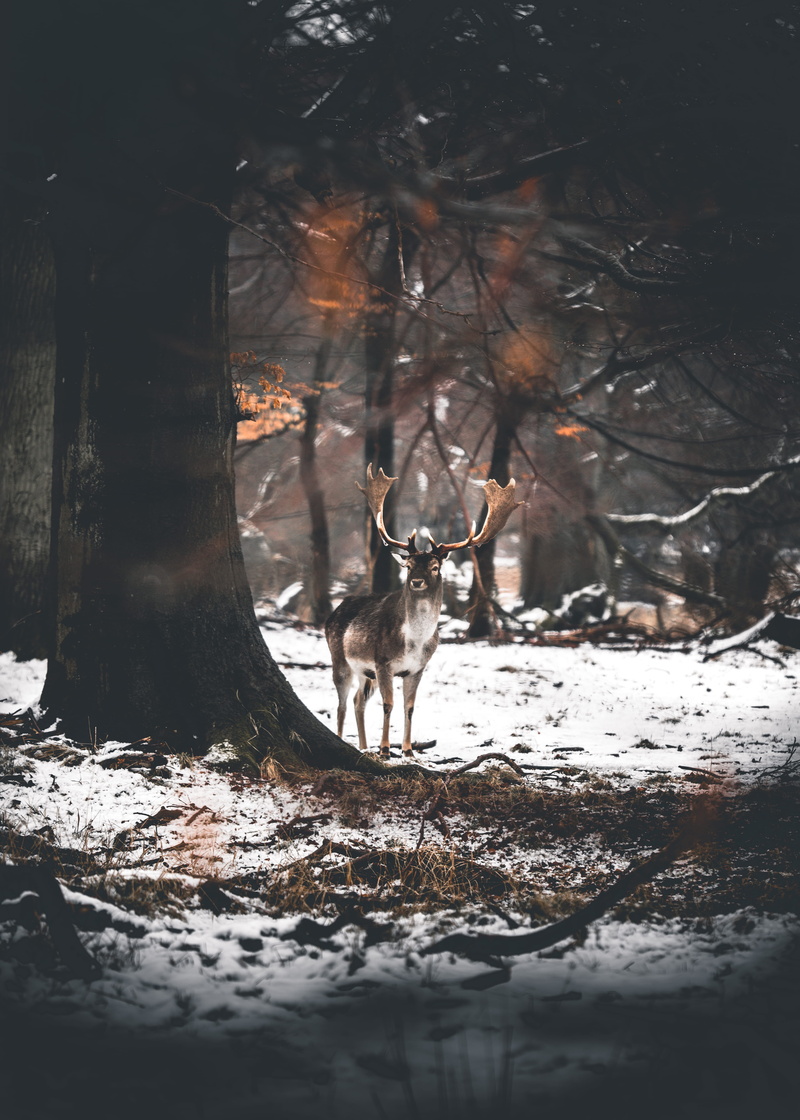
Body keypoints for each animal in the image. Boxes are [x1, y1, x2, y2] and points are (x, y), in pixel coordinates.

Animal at [325, 464, 522, 760]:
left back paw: (363, 746)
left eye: (434, 567)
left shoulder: (417, 668)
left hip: (364, 672)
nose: (416, 581)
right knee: (342, 703)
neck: (415, 641)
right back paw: (344, 740)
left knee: (359, 700)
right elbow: (388, 703)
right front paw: (386, 749)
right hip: (339, 657)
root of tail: (334, 611)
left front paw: (407, 750)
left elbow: (409, 707)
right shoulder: (383, 662)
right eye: (408, 566)